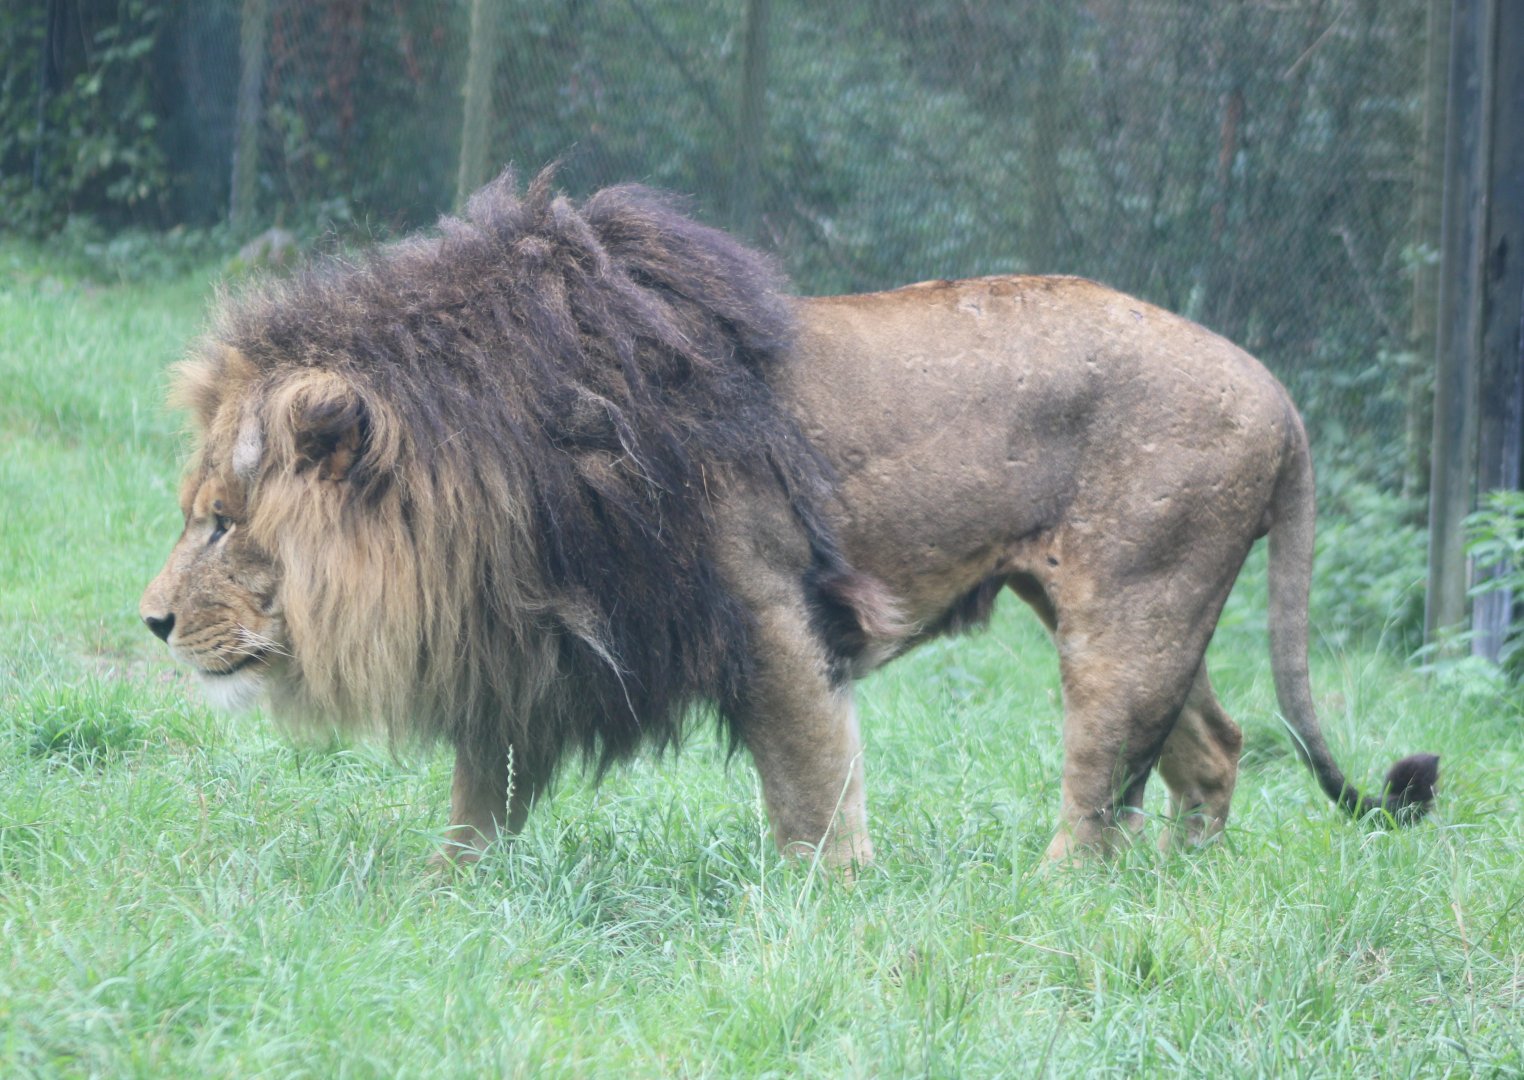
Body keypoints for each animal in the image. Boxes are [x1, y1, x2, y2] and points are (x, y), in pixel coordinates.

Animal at [140, 171, 1437, 868]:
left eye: (222, 524)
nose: (150, 624)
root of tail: (1280, 393)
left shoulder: (766, 612)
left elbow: (811, 785)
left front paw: (834, 906)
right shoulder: (534, 643)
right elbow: (481, 803)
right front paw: (444, 904)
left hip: (1132, 613)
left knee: (1100, 783)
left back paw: (1057, 895)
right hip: (1127, 612)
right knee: (1211, 748)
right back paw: (1176, 890)